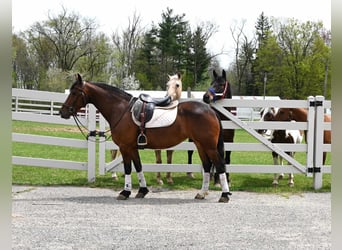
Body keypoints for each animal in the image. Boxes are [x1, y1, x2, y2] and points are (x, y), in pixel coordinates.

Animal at [60, 73, 231, 202]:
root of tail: (210, 110)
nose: (62, 112)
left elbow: (128, 168)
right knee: (207, 166)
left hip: (209, 146)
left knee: (220, 165)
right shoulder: (133, 148)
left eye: (74, 92)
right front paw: (142, 190)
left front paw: (125, 192)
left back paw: (224, 195)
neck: (121, 109)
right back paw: (202, 193)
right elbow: (138, 166)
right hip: (200, 145)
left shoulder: (125, 147)